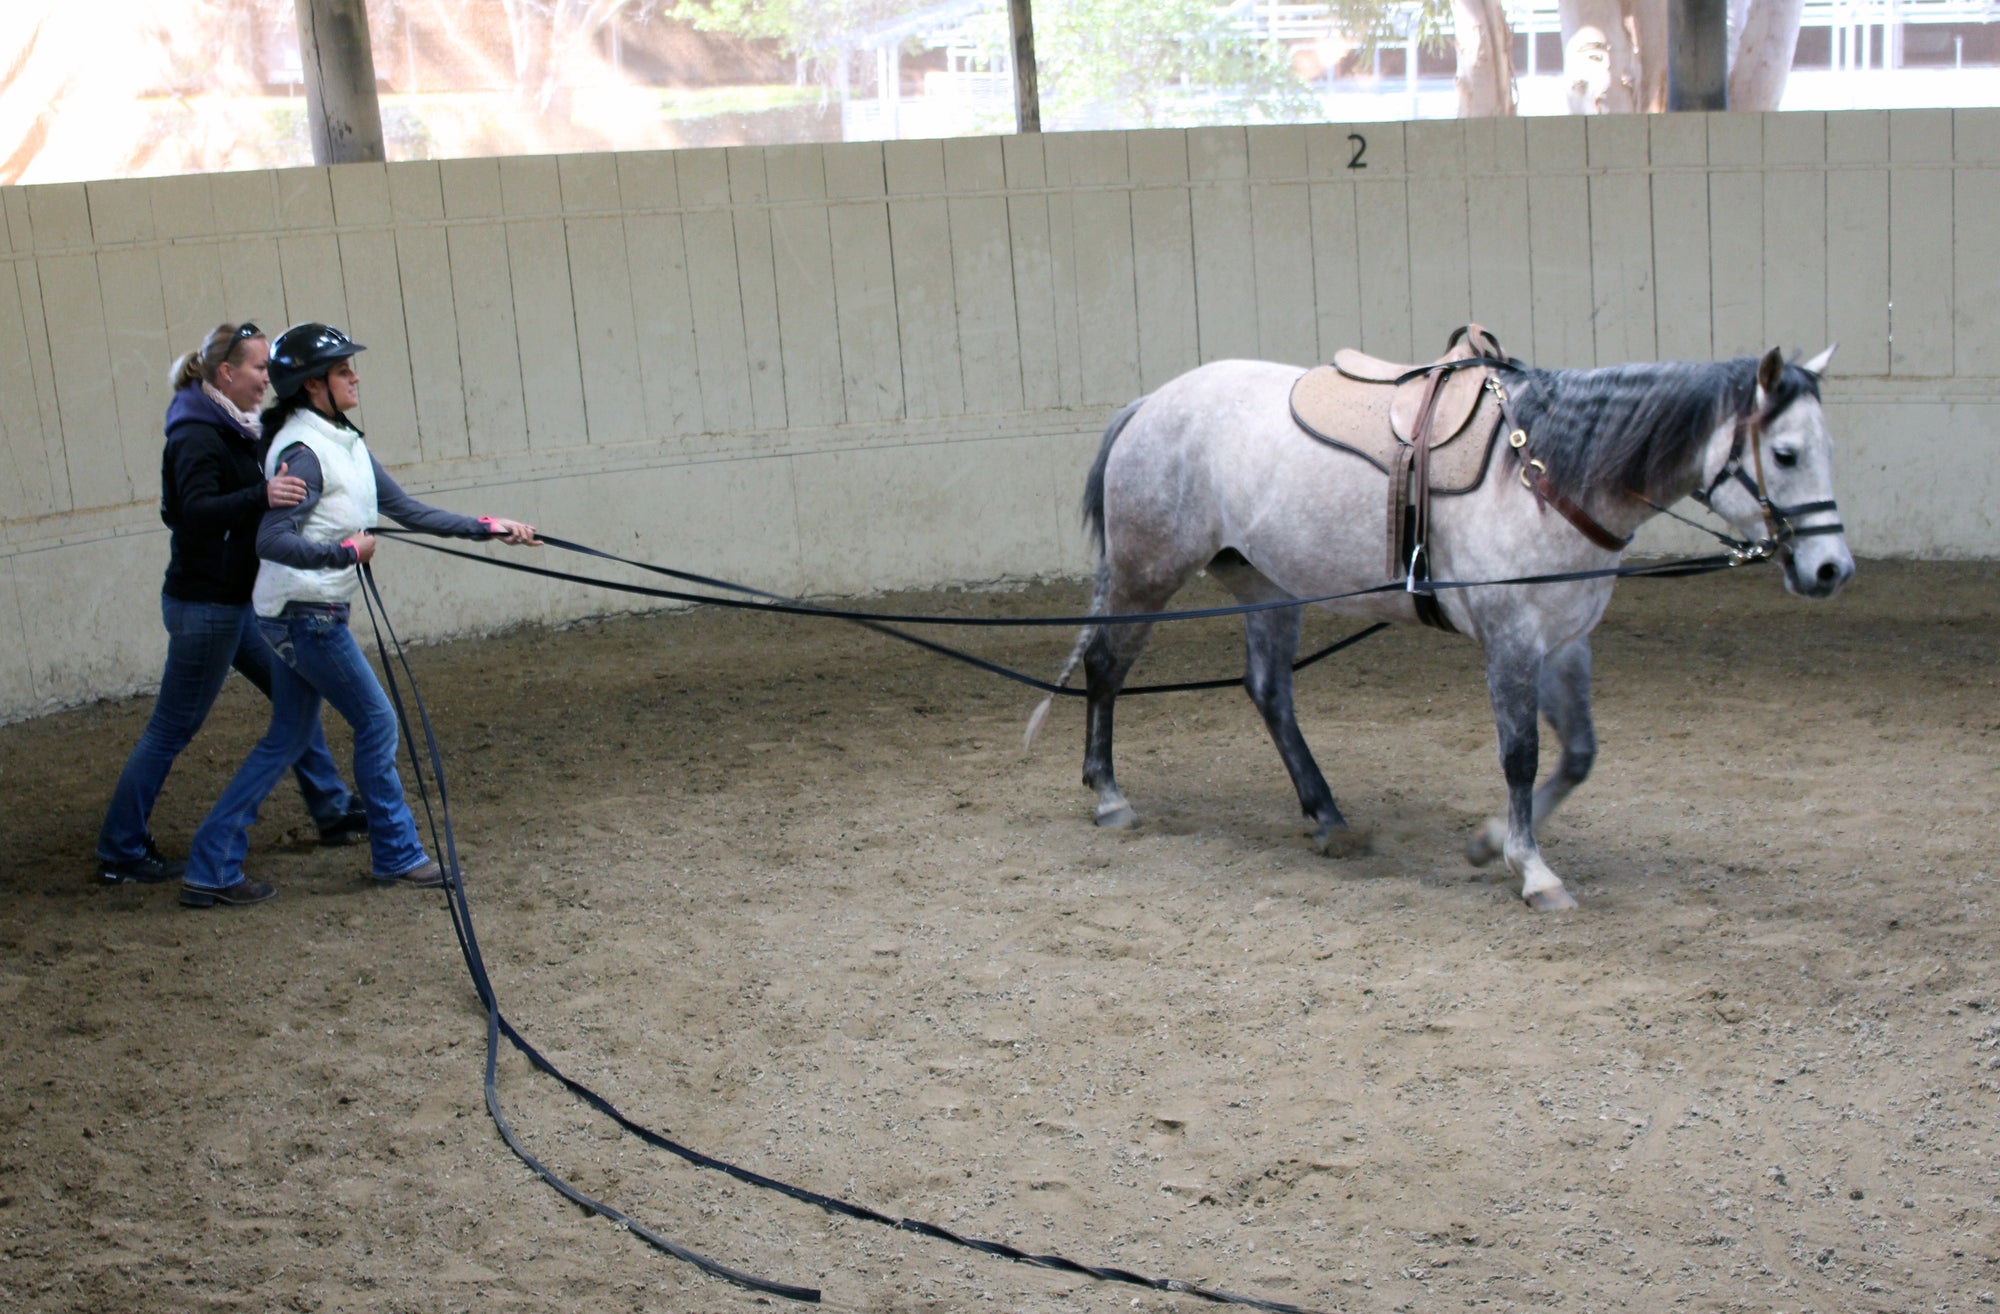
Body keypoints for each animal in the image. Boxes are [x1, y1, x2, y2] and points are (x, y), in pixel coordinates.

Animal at [1028, 341, 1853, 911]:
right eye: (1784, 453)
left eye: (1824, 450)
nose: (1831, 569)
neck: (1543, 473)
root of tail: (1153, 403)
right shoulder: (1513, 641)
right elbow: (1520, 755)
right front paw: (1532, 869)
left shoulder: (1566, 642)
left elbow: (1578, 754)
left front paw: (1490, 843)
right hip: (1148, 573)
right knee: (1106, 668)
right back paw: (1109, 796)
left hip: (1267, 586)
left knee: (1268, 691)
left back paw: (1327, 817)